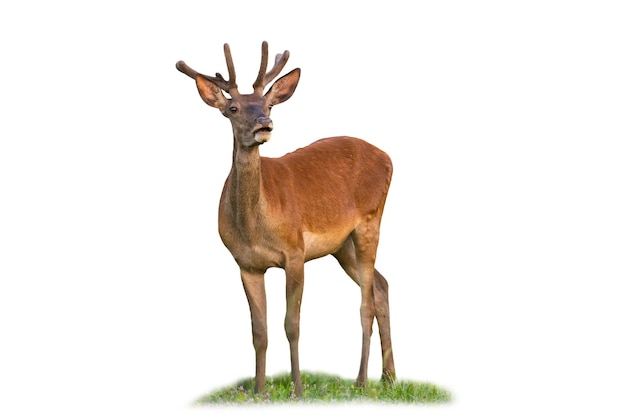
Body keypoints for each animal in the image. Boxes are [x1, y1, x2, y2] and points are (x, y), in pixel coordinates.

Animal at [173, 40, 392, 396]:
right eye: (233, 108)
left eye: (268, 105)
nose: (264, 123)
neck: (254, 228)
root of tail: (388, 157)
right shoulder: (246, 263)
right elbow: (258, 331)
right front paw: (259, 391)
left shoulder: (295, 251)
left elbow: (292, 324)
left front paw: (297, 390)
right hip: (340, 245)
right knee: (382, 286)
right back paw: (389, 377)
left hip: (370, 221)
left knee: (366, 304)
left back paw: (361, 382)